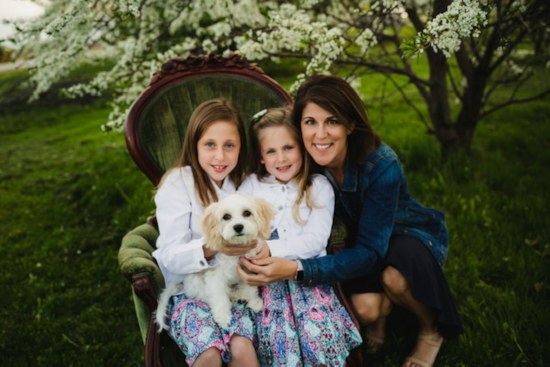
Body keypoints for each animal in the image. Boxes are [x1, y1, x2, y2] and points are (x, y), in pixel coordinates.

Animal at [155, 194, 276, 332]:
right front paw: (223, 317)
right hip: (196, 282)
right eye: (226, 216)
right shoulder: (215, 276)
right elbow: (218, 296)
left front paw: (254, 301)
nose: (238, 227)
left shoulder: (249, 268)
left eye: (247, 213)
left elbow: (250, 288)